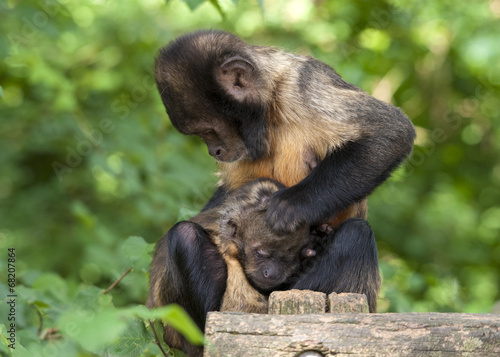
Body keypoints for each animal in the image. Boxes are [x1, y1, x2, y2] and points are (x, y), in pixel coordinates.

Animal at [148, 29, 414, 354]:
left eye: (209, 131)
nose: (215, 150)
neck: (269, 109)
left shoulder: (303, 85)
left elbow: (392, 132)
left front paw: (292, 206)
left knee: (357, 234)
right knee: (185, 236)